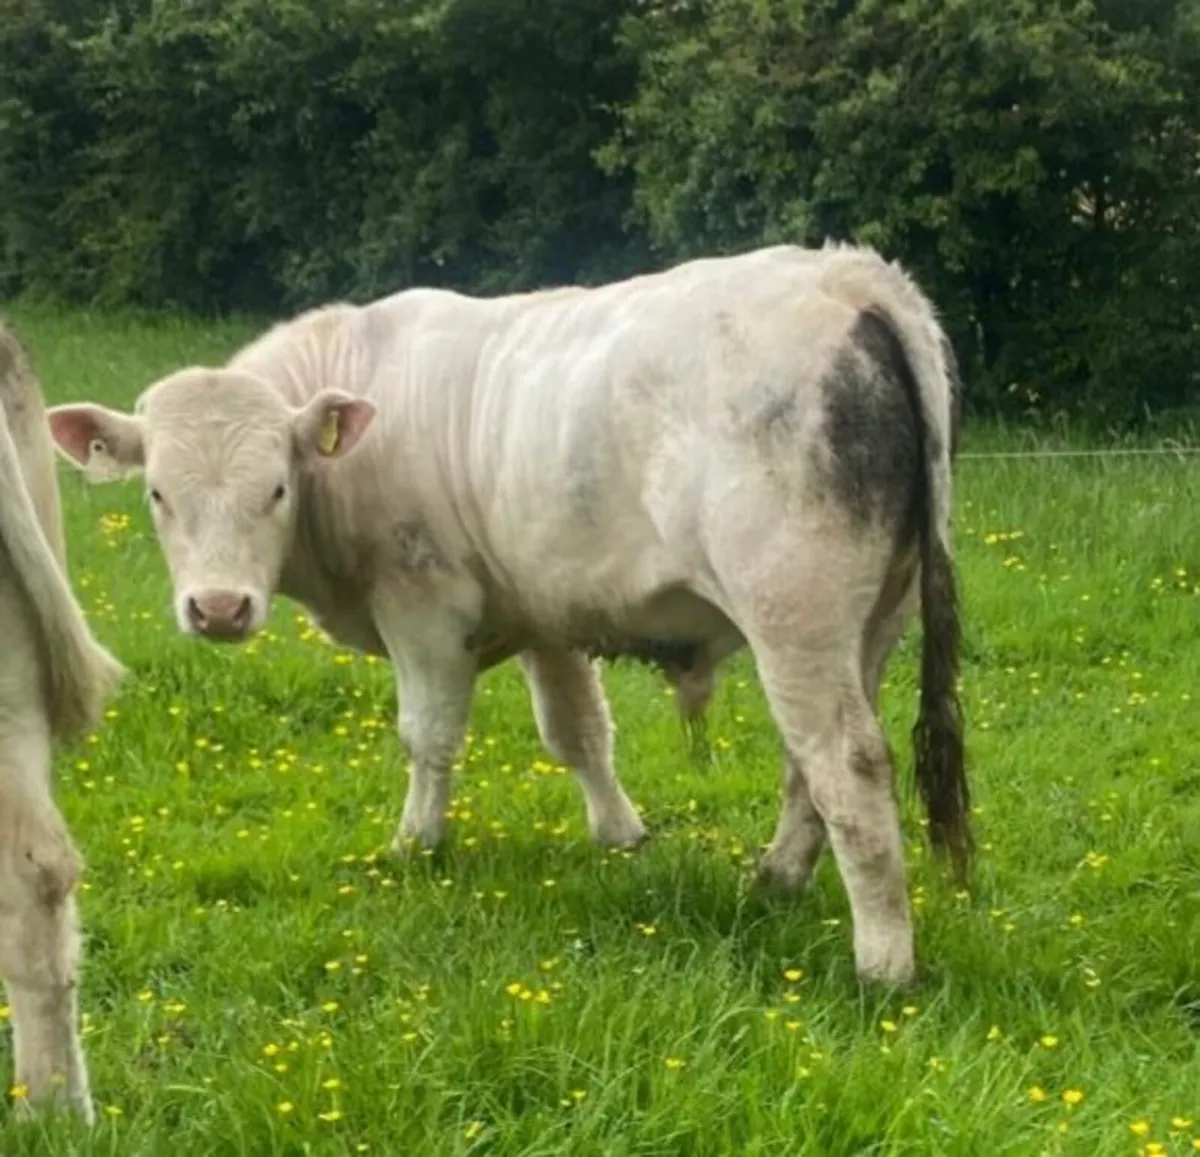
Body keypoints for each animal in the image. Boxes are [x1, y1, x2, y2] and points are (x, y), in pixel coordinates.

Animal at [46, 242, 968, 984]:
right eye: (157, 493)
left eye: (275, 488)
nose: (219, 608)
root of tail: (848, 276)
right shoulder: (545, 616)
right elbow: (579, 733)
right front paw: (620, 834)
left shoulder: (423, 604)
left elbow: (428, 736)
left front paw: (415, 844)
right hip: (870, 623)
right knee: (808, 764)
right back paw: (775, 881)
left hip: (793, 613)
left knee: (846, 764)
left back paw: (883, 964)